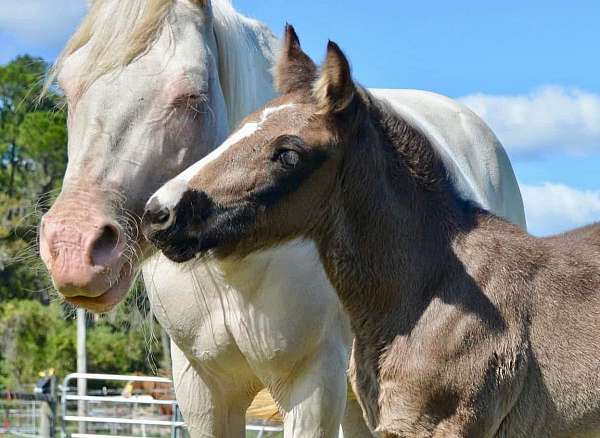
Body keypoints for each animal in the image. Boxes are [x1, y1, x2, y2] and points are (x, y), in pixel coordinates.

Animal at [38, 1, 524, 436]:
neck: (231, 271)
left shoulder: (313, 385)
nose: (74, 247)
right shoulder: (202, 389)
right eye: (66, 89)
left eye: (192, 96)